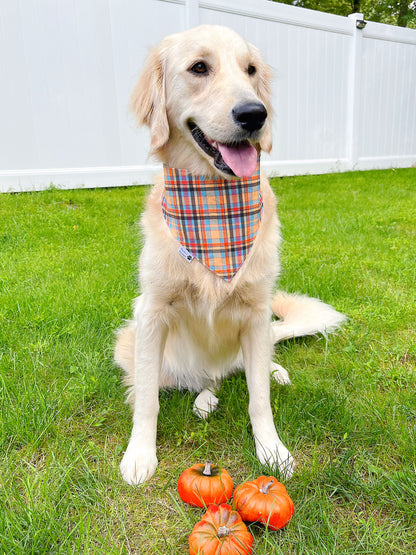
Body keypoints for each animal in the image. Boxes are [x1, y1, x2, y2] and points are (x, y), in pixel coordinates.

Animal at [114, 26, 344, 484]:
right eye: (199, 67)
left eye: (251, 70)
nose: (255, 114)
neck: (214, 204)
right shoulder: (151, 312)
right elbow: (147, 398)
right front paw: (140, 454)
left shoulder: (255, 313)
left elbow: (260, 399)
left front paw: (272, 449)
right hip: (131, 342)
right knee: (195, 381)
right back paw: (204, 399)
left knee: (251, 365)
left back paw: (270, 372)